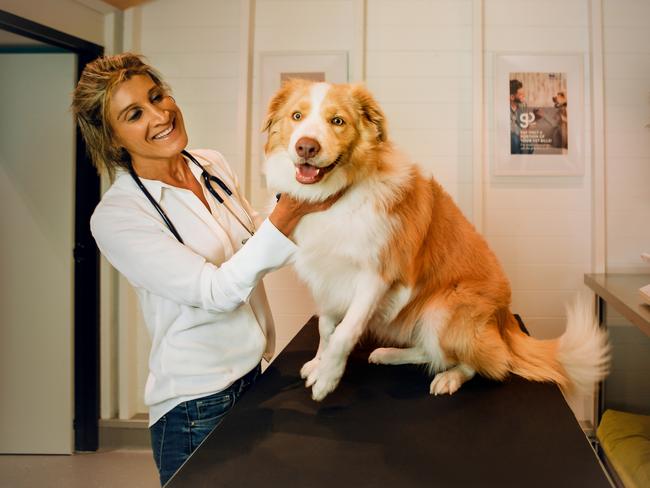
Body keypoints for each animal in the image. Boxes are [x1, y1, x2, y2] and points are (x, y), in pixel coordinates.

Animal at [260, 79, 604, 400]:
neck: (337, 196)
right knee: (431, 352)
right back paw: (390, 354)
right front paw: (319, 364)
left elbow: (346, 330)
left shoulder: (378, 274)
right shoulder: (327, 276)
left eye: (337, 121)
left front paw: (328, 378)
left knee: (489, 362)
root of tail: (505, 319)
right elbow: (326, 327)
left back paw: (450, 378)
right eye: (297, 116)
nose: (306, 147)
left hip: (443, 309)